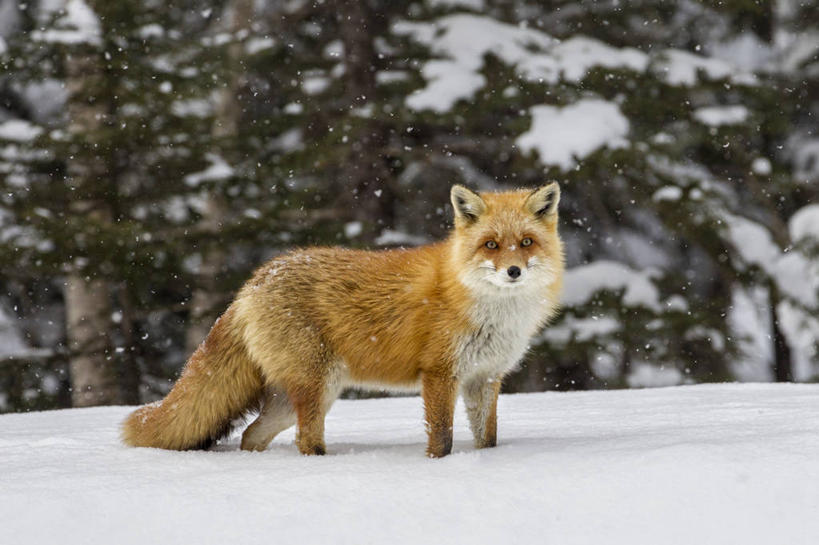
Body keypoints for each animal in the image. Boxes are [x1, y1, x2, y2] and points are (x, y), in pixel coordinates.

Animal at [121, 185, 568, 456]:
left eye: (526, 242)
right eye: (490, 245)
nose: (513, 271)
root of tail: (254, 281)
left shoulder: (485, 377)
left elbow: (487, 439)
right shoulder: (441, 373)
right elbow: (441, 438)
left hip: (293, 398)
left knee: (251, 434)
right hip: (317, 386)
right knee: (305, 440)